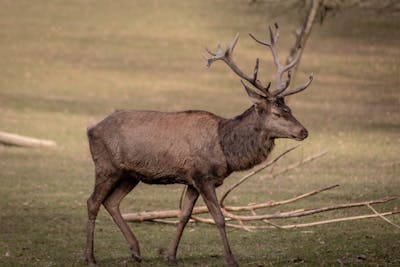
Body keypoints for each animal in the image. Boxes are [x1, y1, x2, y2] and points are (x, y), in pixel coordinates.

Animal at [86, 23, 314, 267]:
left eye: (289, 109)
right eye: (277, 113)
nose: (304, 131)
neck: (226, 150)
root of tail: (91, 129)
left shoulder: (192, 180)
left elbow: (184, 215)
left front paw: (171, 255)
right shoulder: (203, 176)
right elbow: (219, 217)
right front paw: (231, 259)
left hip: (130, 174)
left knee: (111, 202)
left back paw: (136, 251)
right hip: (106, 166)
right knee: (93, 202)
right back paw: (90, 257)